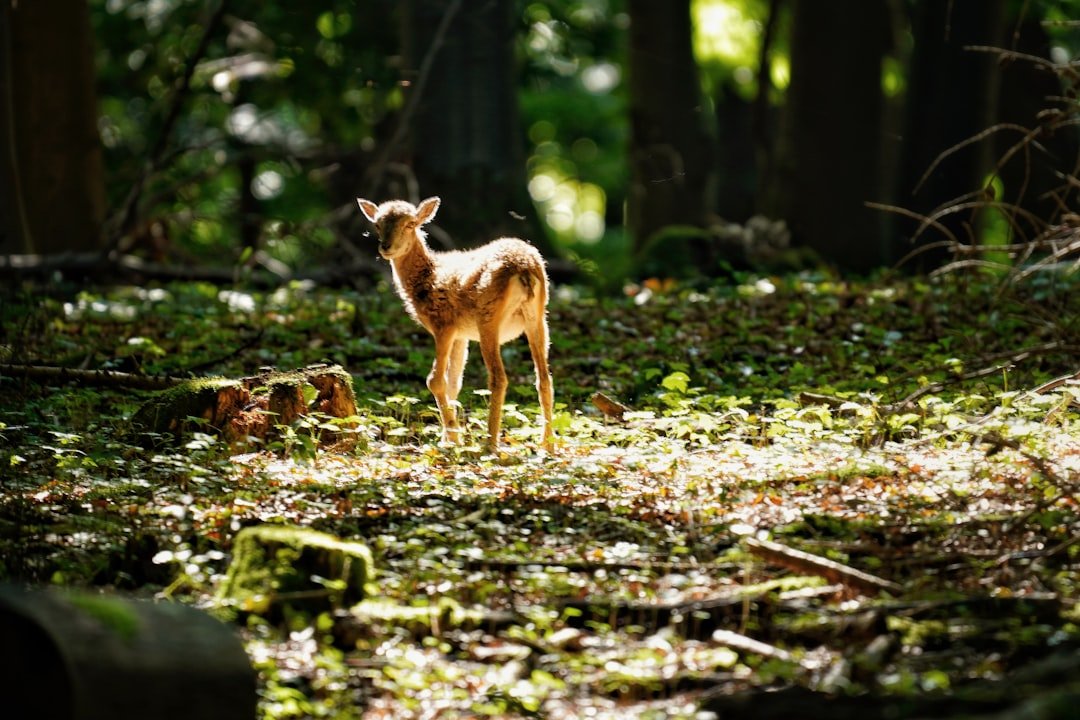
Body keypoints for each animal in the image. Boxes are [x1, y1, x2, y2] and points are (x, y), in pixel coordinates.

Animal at [356, 196, 555, 452]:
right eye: (377, 224)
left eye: (411, 224)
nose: (385, 247)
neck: (428, 278)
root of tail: (525, 268)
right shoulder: (462, 334)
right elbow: (454, 382)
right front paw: (446, 437)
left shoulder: (443, 324)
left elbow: (435, 380)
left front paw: (453, 437)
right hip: (538, 317)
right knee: (544, 379)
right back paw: (547, 445)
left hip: (489, 318)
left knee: (498, 377)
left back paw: (490, 445)